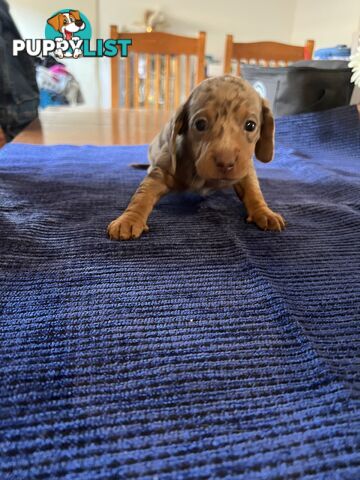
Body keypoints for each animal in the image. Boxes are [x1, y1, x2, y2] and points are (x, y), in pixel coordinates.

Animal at [107, 75, 284, 242]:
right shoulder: (161, 172)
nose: (225, 163)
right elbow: (142, 195)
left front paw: (264, 212)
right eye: (200, 124)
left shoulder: (245, 170)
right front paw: (129, 220)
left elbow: (253, 191)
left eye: (251, 125)